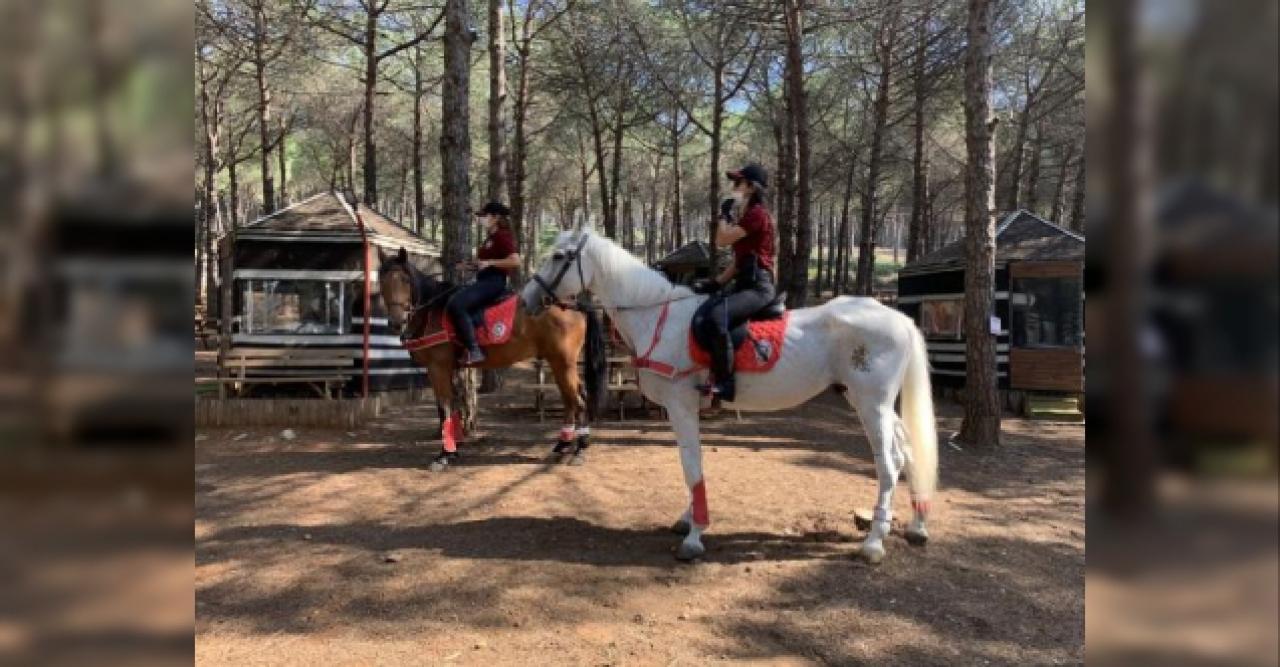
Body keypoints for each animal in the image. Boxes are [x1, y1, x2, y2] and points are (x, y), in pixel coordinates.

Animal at [376, 247, 606, 471]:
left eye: (405, 280)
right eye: (381, 280)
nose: (396, 322)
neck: (432, 311)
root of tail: (573, 305)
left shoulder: (437, 368)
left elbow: (444, 408)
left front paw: (444, 455)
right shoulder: (449, 368)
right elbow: (452, 406)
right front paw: (454, 451)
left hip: (564, 362)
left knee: (578, 399)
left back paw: (579, 450)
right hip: (557, 362)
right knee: (570, 399)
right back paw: (563, 444)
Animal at [522, 229, 942, 560]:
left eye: (559, 256)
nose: (526, 300)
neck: (660, 319)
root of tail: (899, 318)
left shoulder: (681, 405)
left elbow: (692, 465)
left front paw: (695, 535)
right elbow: (689, 465)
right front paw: (688, 520)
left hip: (872, 405)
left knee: (888, 463)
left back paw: (874, 541)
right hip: (872, 403)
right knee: (906, 452)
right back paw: (917, 524)